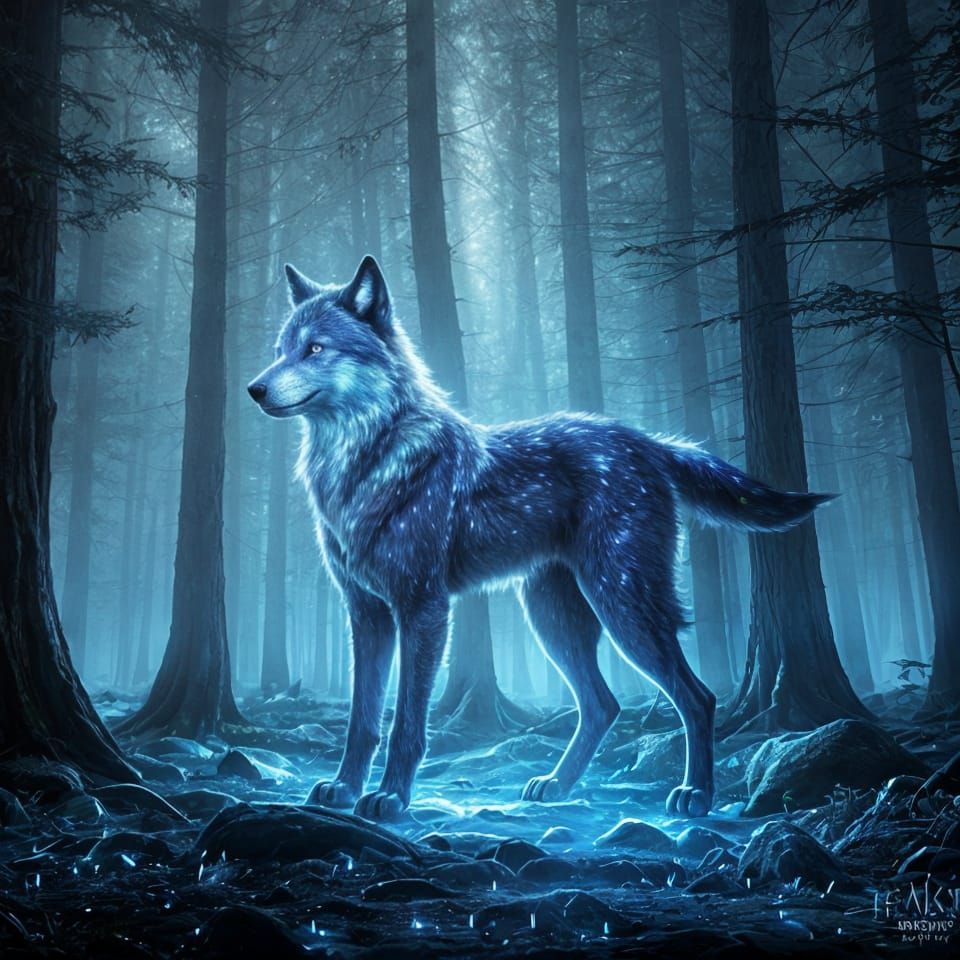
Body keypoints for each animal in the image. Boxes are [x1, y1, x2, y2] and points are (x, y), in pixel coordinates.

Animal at [248, 255, 830, 822]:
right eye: (279, 351)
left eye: (315, 349)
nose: (254, 388)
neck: (364, 463)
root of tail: (648, 441)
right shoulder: (366, 614)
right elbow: (362, 720)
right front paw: (345, 789)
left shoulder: (422, 609)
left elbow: (406, 724)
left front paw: (390, 798)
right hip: (552, 618)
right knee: (603, 705)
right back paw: (557, 785)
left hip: (623, 608)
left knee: (697, 697)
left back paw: (695, 795)